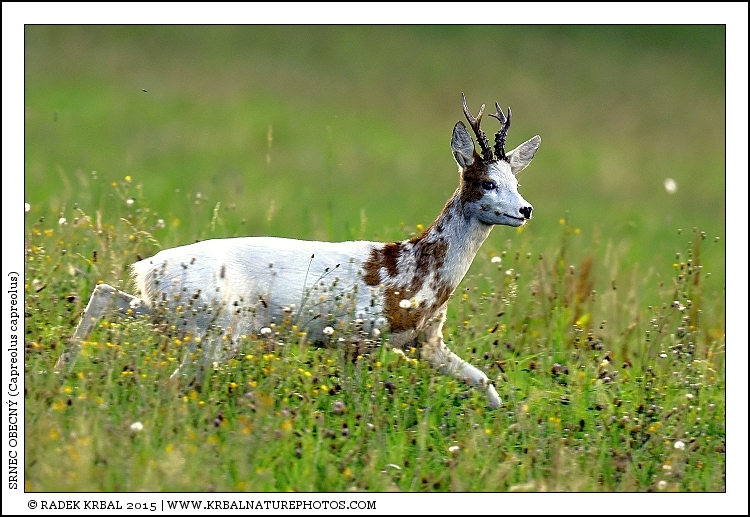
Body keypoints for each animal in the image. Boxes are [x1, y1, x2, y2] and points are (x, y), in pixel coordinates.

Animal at [55, 93, 540, 409]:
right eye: (487, 182)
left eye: (516, 180)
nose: (525, 209)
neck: (416, 276)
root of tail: (149, 269)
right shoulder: (356, 336)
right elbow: (356, 401)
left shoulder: (426, 342)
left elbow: (485, 383)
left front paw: (506, 419)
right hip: (217, 329)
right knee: (173, 381)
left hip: (173, 314)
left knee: (105, 294)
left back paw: (61, 370)